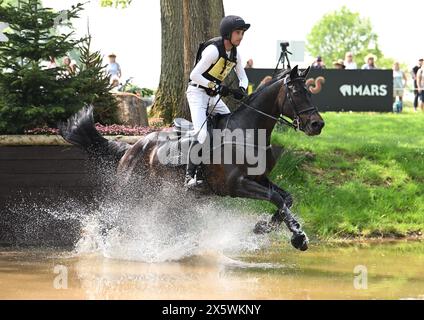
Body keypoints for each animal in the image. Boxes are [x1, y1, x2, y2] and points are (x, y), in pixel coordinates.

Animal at [60, 65, 324, 252]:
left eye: (310, 92)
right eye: (296, 92)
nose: (317, 125)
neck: (248, 131)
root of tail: (131, 148)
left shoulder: (259, 179)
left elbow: (286, 198)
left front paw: (264, 227)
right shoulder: (236, 186)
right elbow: (276, 199)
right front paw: (299, 237)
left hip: (164, 198)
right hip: (129, 193)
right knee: (109, 220)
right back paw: (100, 250)